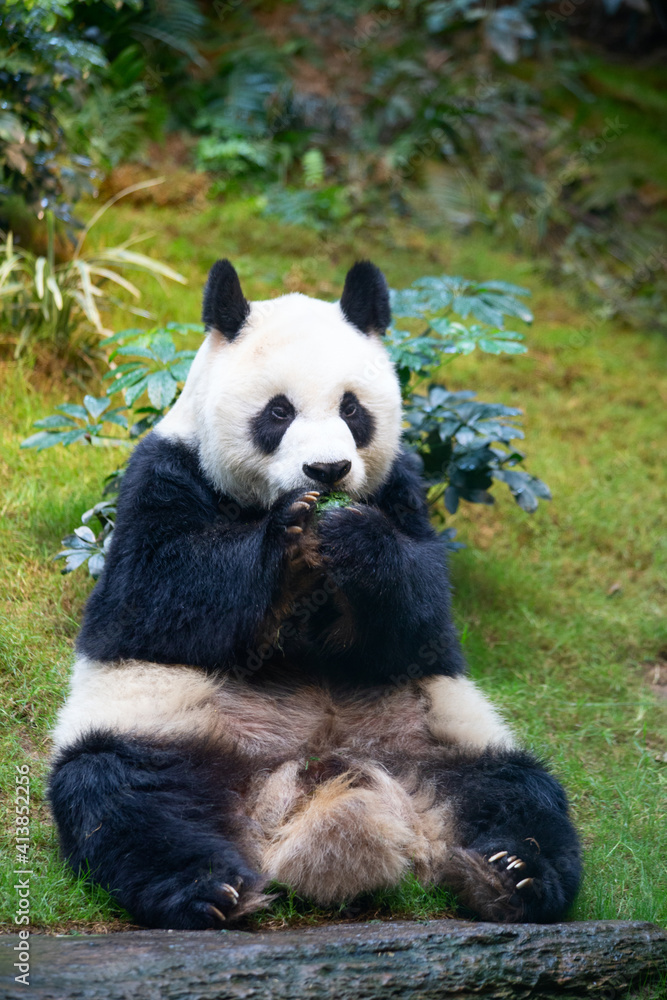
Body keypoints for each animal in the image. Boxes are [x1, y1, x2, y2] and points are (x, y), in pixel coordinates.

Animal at [49, 260, 581, 930]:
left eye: (353, 409)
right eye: (278, 412)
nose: (328, 471)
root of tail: (295, 794)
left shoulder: (401, 488)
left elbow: (421, 618)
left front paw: (354, 540)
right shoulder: (159, 476)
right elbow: (158, 596)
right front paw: (288, 538)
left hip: (442, 737)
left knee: (515, 791)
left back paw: (513, 875)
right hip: (162, 725)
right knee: (124, 794)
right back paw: (208, 888)